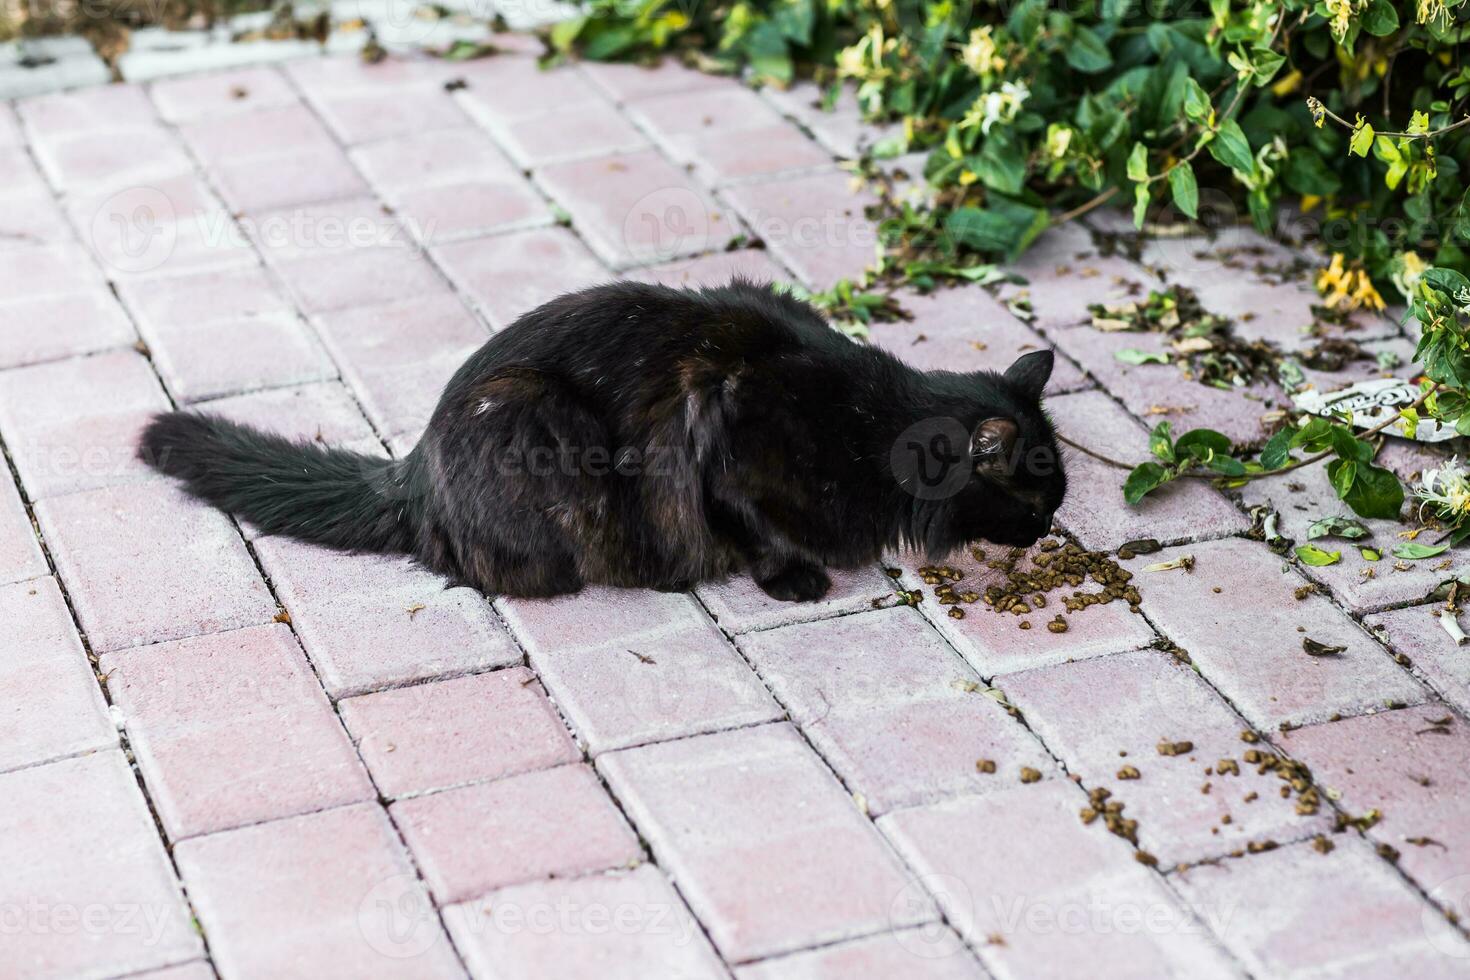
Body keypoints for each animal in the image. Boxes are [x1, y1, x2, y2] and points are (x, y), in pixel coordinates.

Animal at [140, 274, 1070, 599]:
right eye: (1034, 500)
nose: (1050, 529)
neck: (871, 422)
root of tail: (411, 471)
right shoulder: (724, 425)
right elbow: (750, 523)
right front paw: (790, 577)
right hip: (540, 422)